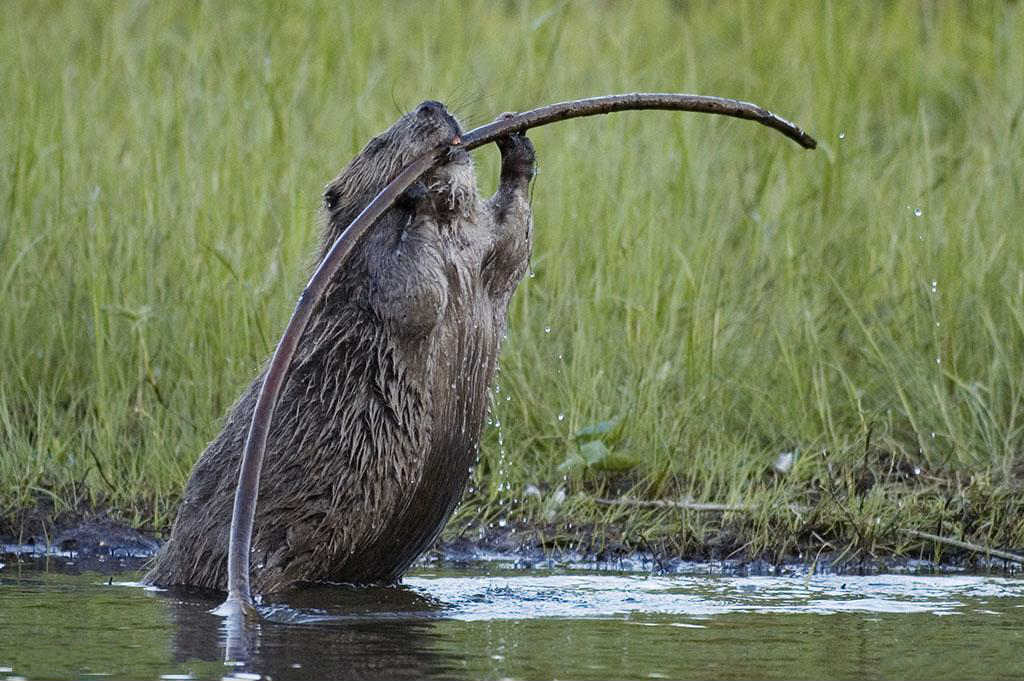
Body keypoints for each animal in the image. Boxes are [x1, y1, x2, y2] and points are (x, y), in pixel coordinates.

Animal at [149, 98, 536, 593]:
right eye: (377, 143)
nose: (432, 106)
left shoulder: (483, 248)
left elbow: (513, 238)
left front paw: (515, 139)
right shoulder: (370, 266)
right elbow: (414, 292)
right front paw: (415, 194)